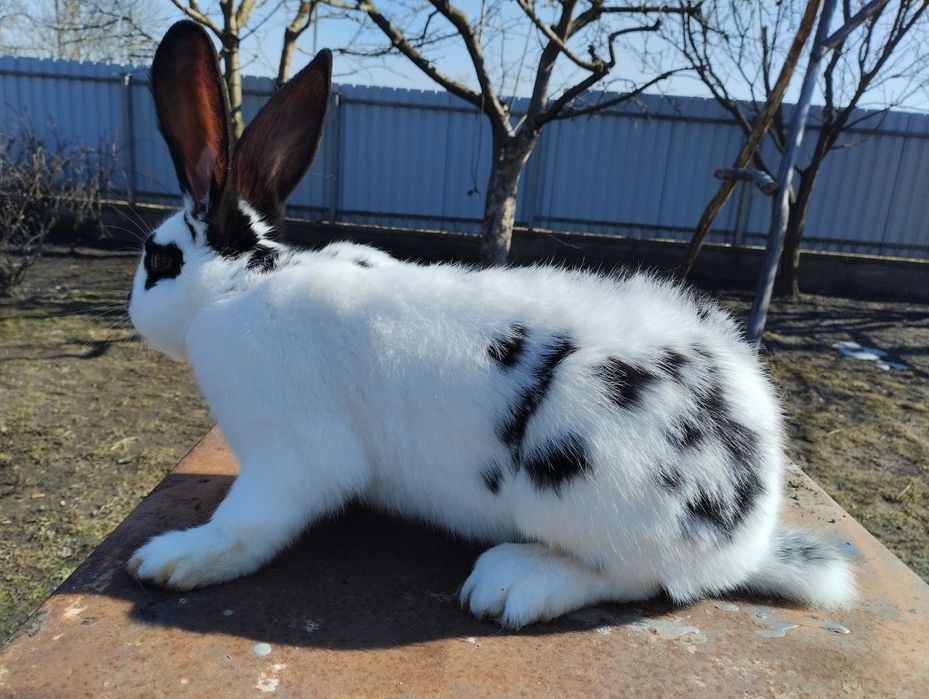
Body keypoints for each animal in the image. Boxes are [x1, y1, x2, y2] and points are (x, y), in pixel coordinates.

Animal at [127, 21, 854, 629]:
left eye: (158, 260)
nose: (132, 312)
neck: (242, 285)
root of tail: (749, 533)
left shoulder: (289, 451)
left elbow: (246, 524)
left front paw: (169, 559)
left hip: (583, 472)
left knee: (644, 577)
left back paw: (511, 582)